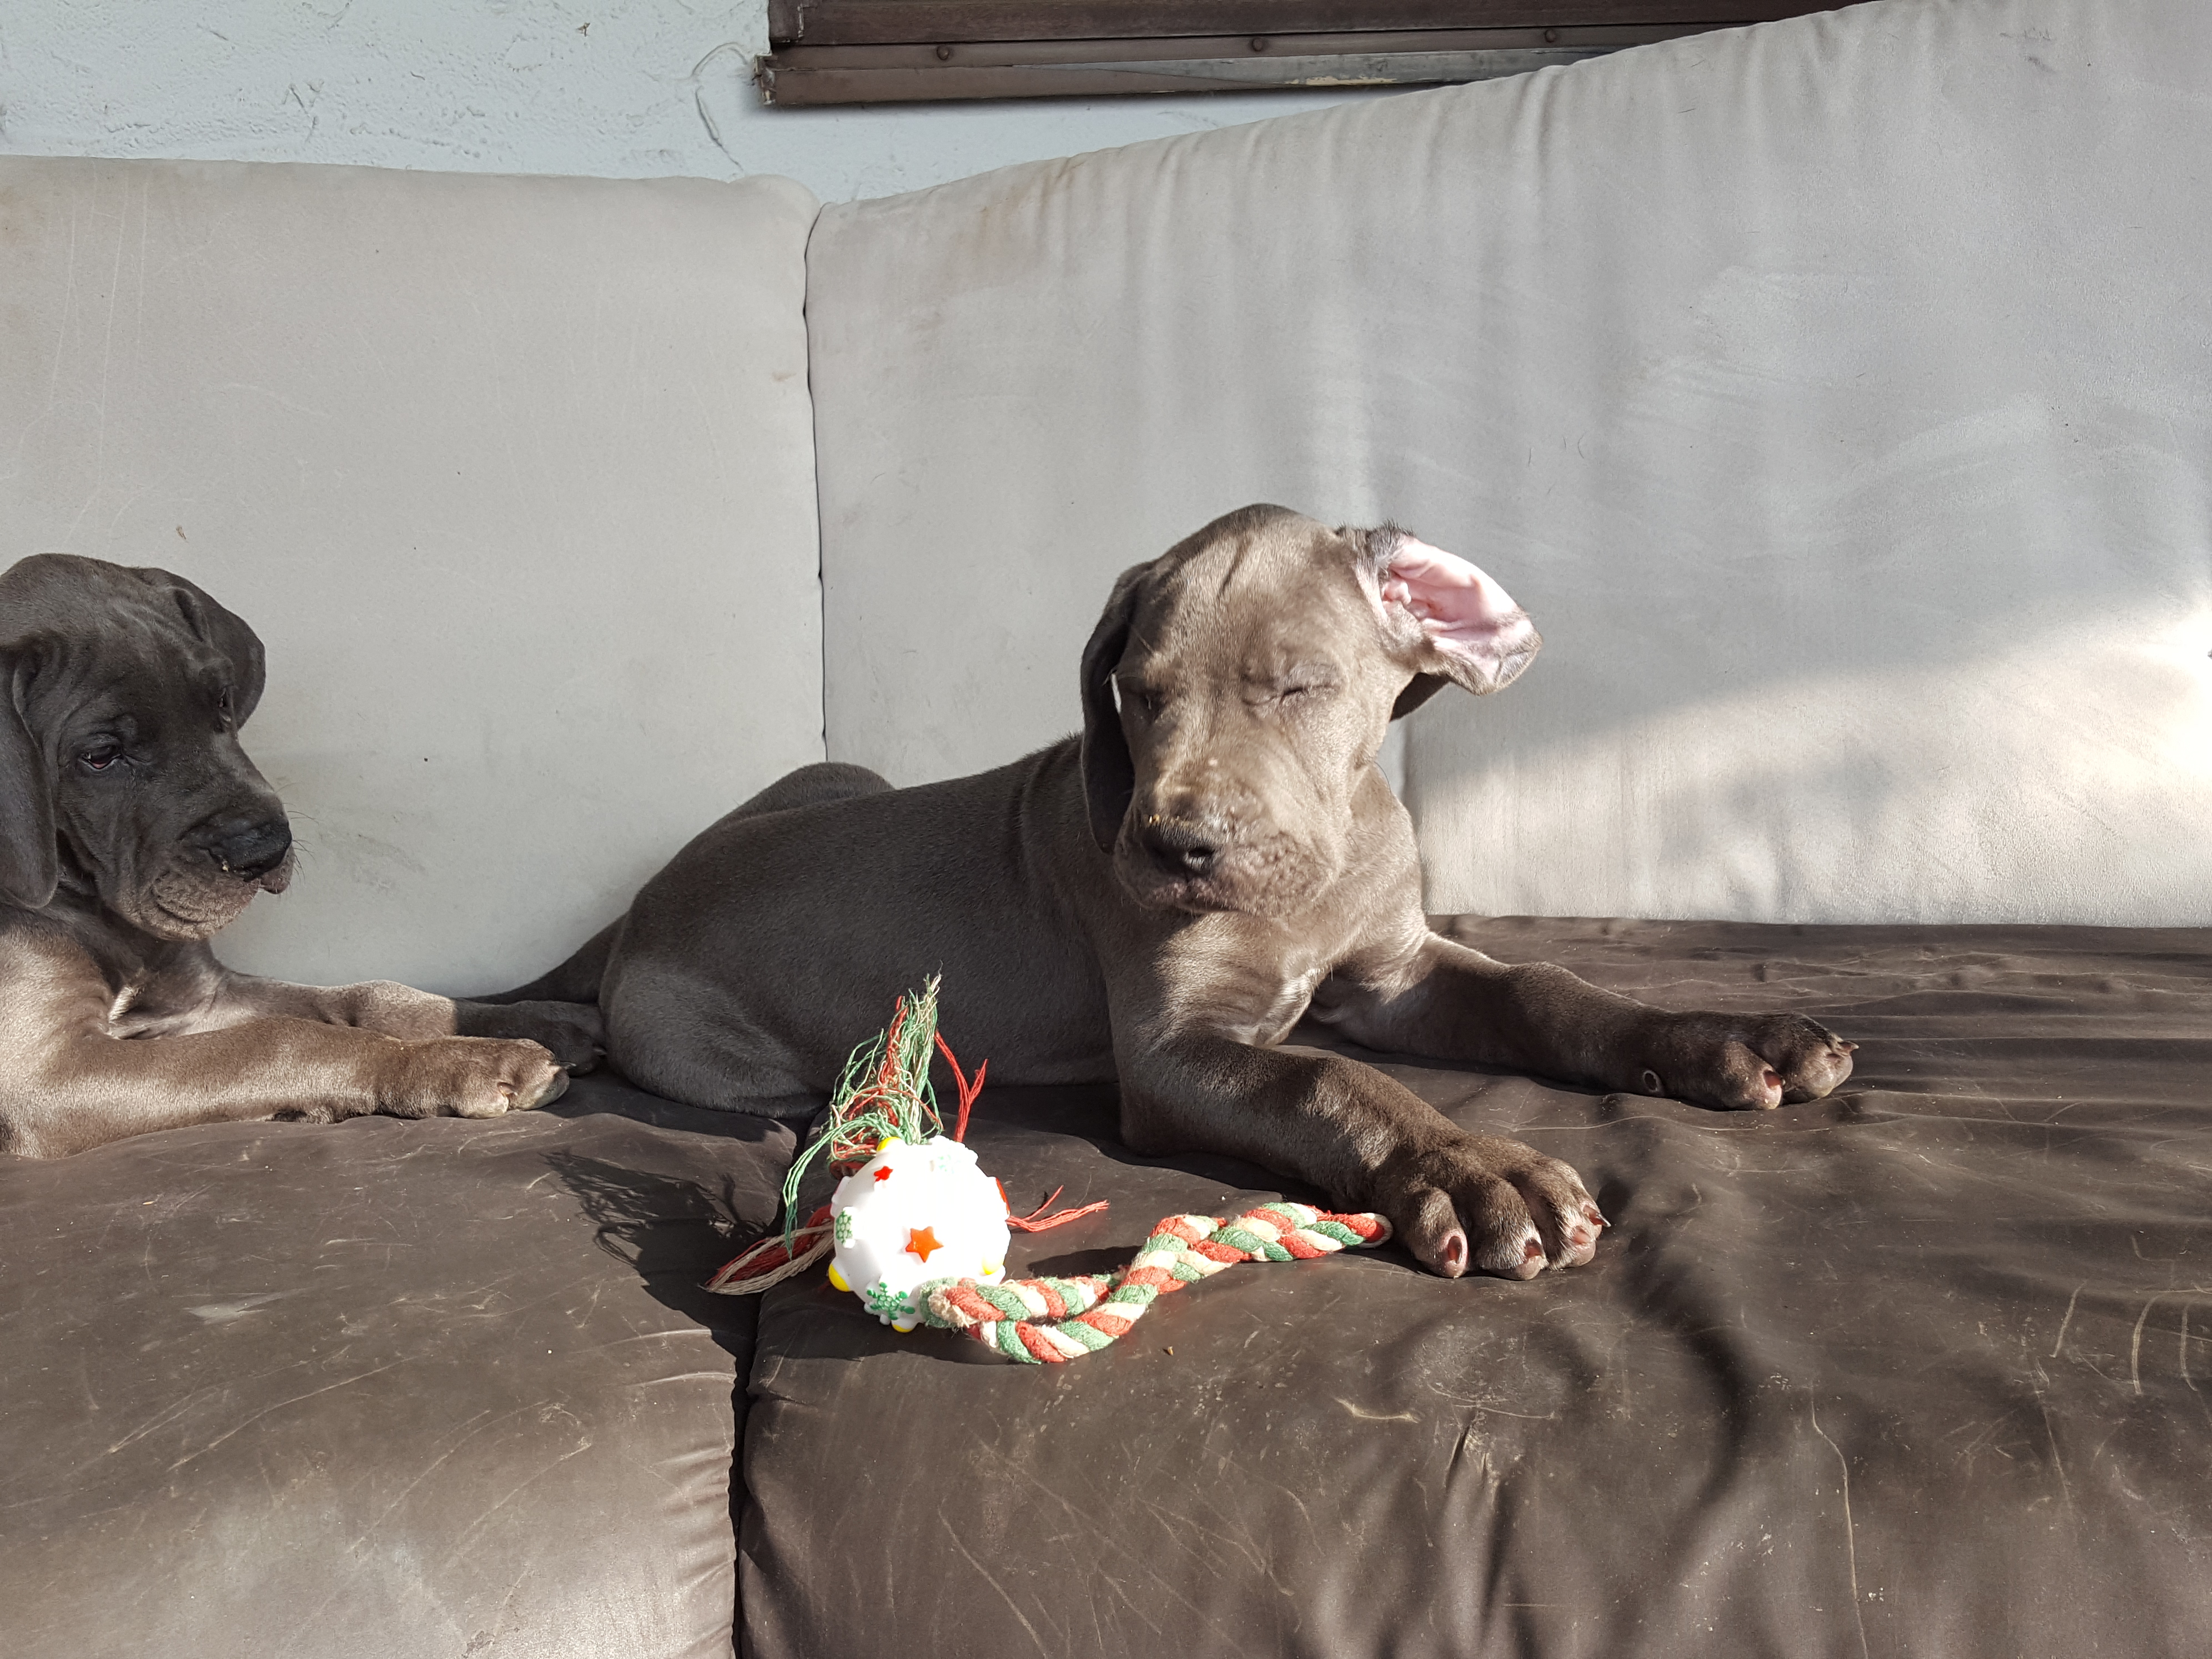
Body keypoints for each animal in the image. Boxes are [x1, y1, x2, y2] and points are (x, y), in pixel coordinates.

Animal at [0, 553, 598, 1158]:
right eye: (100, 756)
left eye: (221, 700)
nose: (263, 851)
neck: (94, 905)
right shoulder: (46, 1074)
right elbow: (279, 1040)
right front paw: (459, 1061)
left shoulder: (199, 999)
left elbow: (371, 997)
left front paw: (540, 1019)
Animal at [491, 505, 1854, 1277]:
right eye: (1138, 694)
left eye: (1298, 687)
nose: (1172, 847)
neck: (1314, 868)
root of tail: (637, 906)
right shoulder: (1173, 1050)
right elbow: (1331, 1079)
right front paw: (1473, 1168)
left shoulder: (1398, 973)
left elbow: (1548, 991)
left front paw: (1728, 1038)